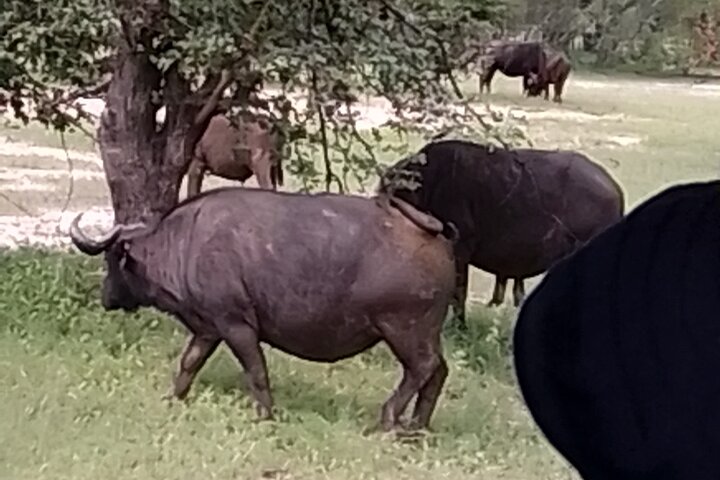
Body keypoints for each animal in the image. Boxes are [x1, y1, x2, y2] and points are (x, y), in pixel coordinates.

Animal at [69, 187, 457, 431]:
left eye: (110, 260)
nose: (106, 297)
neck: (187, 242)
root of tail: (428, 230)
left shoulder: (236, 326)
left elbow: (256, 371)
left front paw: (264, 415)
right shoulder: (208, 328)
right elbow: (188, 364)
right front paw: (174, 398)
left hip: (403, 328)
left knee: (423, 368)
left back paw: (389, 418)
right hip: (426, 332)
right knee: (438, 371)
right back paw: (418, 425)